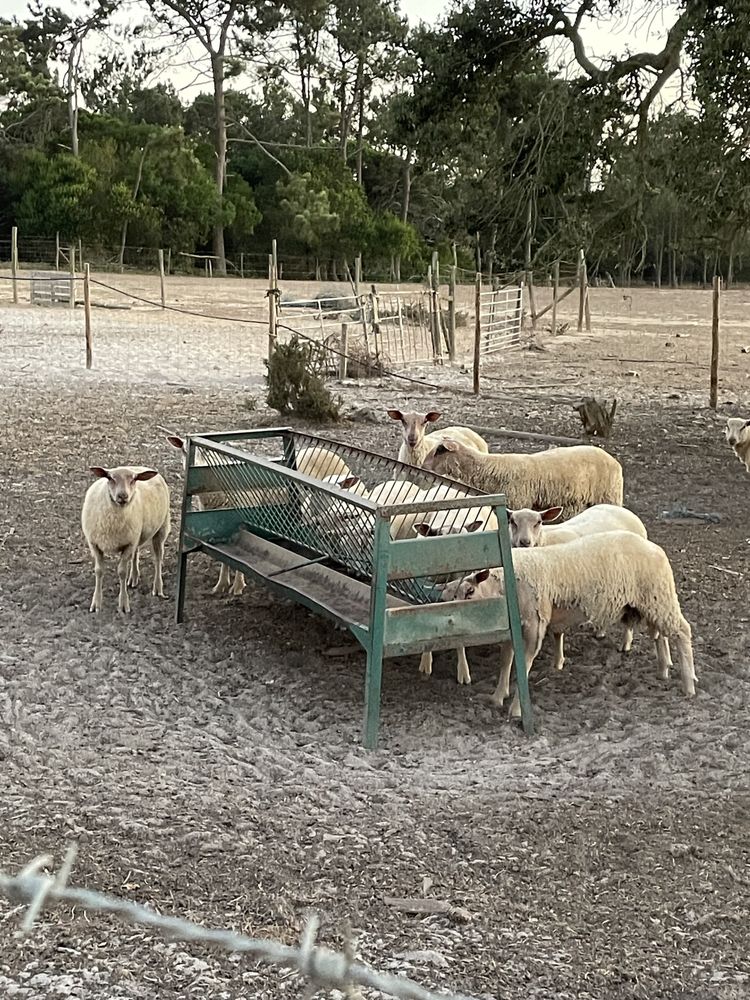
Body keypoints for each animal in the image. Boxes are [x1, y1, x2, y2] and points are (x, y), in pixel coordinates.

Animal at [81, 464, 171, 612]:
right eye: (110, 478)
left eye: (133, 480)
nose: (123, 496)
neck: (113, 522)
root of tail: (141, 466)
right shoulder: (95, 544)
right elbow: (99, 571)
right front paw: (96, 603)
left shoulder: (128, 544)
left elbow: (122, 572)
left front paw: (123, 604)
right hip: (136, 534)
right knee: (136, 553)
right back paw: (133, 577)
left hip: (161, 528)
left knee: (158, 558)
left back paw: (158, 587)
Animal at [444, 532, 696, 720]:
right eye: (449, 596)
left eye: (470, 591)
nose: (453, 623)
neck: (505, 586)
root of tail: (655, 547)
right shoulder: (513, 629)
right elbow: (506, 661)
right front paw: (497, 697)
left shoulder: (535, 625)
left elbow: (523, 664)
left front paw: (516, 710)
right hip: (649, 603)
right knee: (660, 635)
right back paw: (663, 670)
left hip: (659, 596)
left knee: (683, 631)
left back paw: (688, 684)